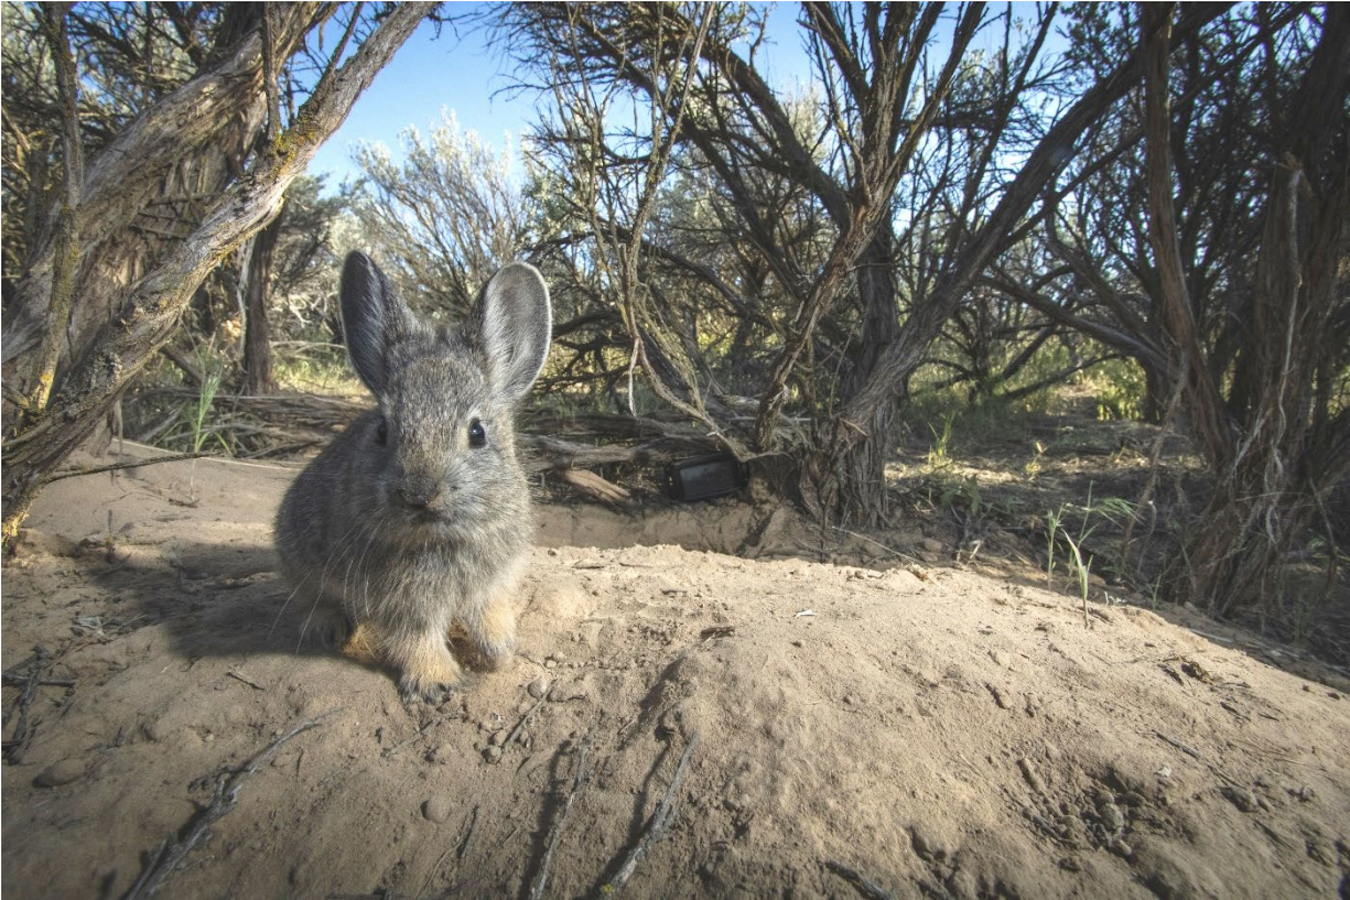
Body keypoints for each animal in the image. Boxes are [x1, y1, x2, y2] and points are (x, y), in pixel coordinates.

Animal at [275, 251, 551, 702]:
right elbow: (415, 638)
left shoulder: (492, 584)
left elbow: (491, 613)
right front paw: (436, 682)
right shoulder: (401, 605)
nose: (419, 494)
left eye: (478, 432)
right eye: (383, 430)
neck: (440, 538)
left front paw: (499, 652)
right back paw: (327, 628)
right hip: (296, 554)